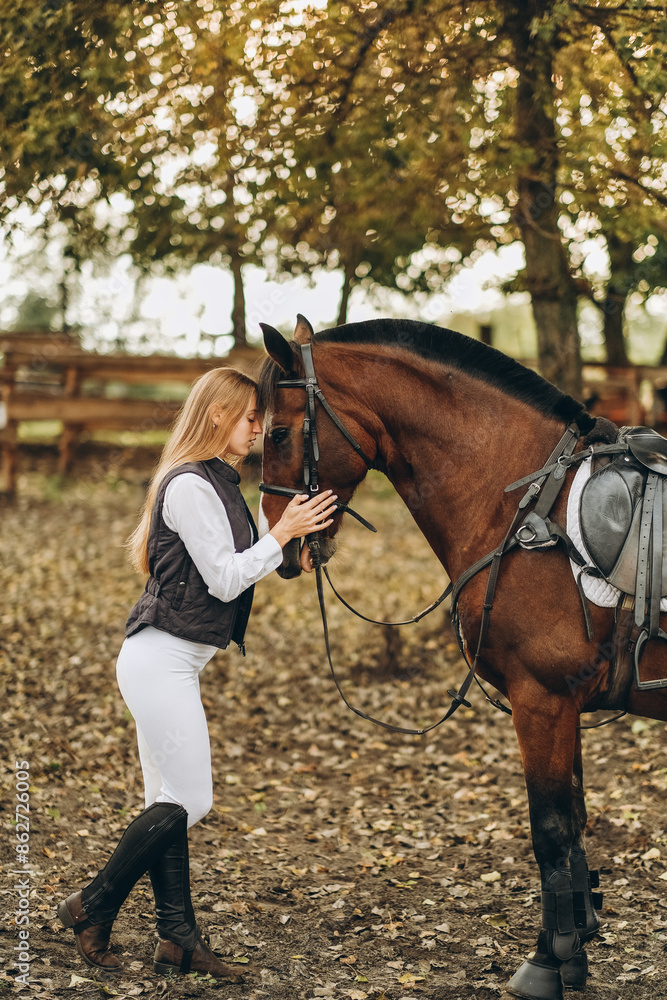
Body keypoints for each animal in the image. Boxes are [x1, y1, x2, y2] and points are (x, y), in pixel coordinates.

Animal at [256, 314, 667, 1000]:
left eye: (280, 432)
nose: (283, 548)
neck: (526, 503)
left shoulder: (542, 700)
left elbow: (550, 832)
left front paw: (547, 962)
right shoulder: (564, 706)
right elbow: (575, 824)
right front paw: (574, 948)